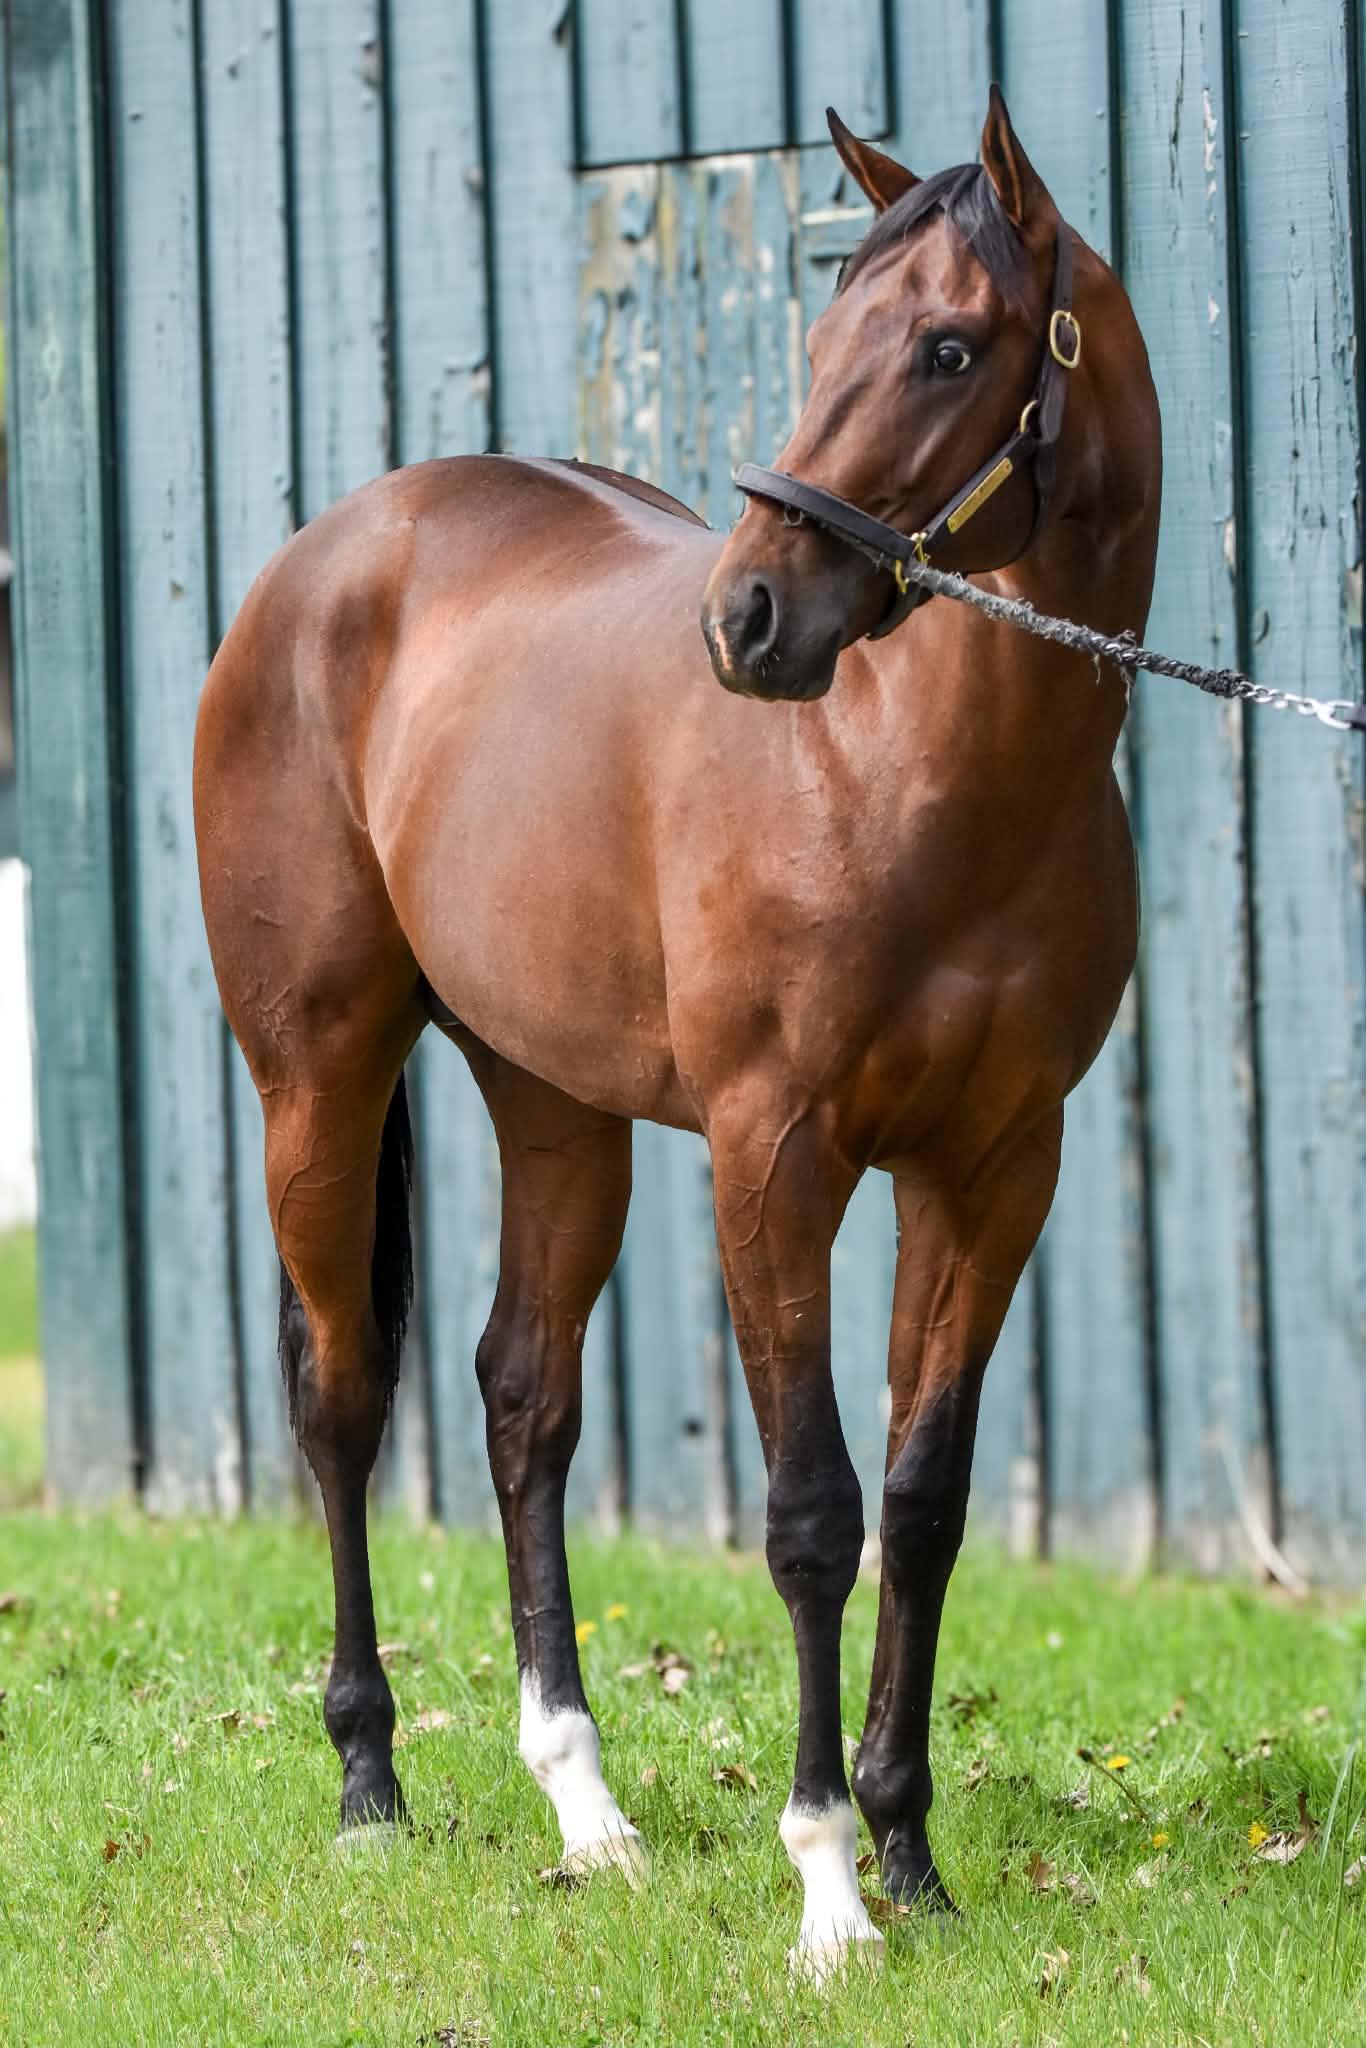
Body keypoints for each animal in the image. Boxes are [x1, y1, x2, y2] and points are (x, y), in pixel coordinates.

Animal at [193, 88, 1160, 1980]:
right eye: (821, 336)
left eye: (948, 345)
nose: (748, 620)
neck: (919, 777)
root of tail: (327, 555)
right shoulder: (773, 1161)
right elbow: (809, 1514)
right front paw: (828, 1891)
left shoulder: (997, 1169)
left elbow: (922, 1502)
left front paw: (910, 1853)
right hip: (316, 1078)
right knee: (341, 1399)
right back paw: (369, 1784)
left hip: (555, 1107)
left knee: (522, 1399)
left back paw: (589, 1810)